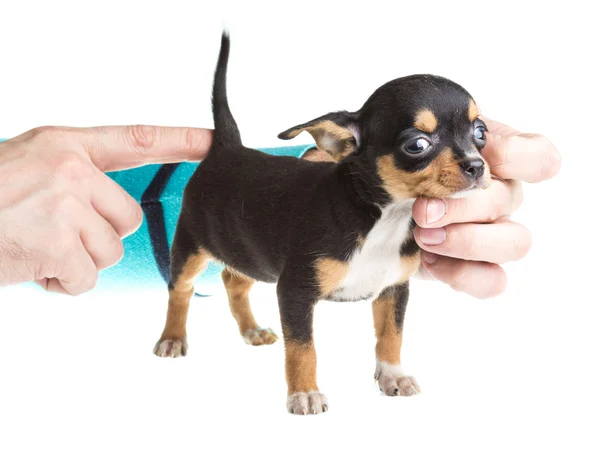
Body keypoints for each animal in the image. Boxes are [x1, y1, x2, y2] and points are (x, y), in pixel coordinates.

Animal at [152, 32, 490, 416]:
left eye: (481, 133)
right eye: (417, 144)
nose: (477, 165)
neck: (383, 217)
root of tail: (227, 148)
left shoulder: (394, 288)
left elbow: (391, 335)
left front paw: (393, 375)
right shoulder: (294, 292)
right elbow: (302, 349)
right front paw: (304, 393)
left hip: (246, 251)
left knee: (233, 282)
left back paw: (251, 330)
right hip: (190, 245)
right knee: (181, 289)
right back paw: (172, 337)